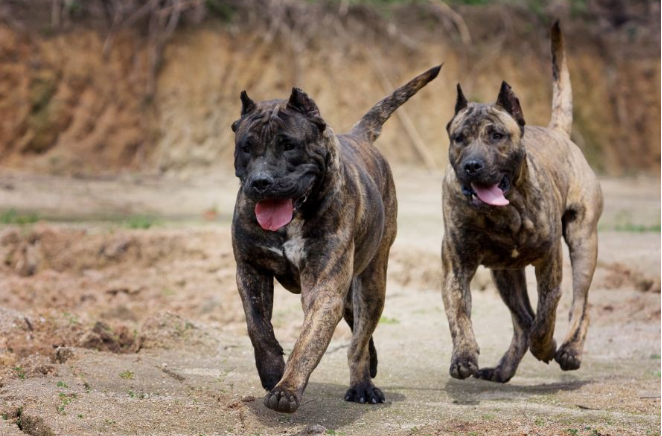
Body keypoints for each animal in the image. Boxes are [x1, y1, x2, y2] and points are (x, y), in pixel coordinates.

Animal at [232, 65, 440, 412]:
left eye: (289, 145)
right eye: (246, 148)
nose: (261, 181)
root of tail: (359, 136)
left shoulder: (325, 287)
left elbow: (308, 341)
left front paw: (287, 387)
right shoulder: (250, 269)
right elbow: (257, 326)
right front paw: (272, 371)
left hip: (372, 282)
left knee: (358, 340)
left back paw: (362, 385)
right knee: (359, 330)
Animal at [444, 22, 604, 382]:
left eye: (496, 135)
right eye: (459, 138)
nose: (472, 165)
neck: (504, 213)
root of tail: (558, 132)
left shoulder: (550, 263)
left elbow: (547, 313)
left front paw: (545, 346)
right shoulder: (457, 268)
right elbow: (460, 314)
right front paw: (463, 356)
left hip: (583, 243)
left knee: (580, 305)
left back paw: (569, 350)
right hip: (505, 274)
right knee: (521, 321)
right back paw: (504, 367)